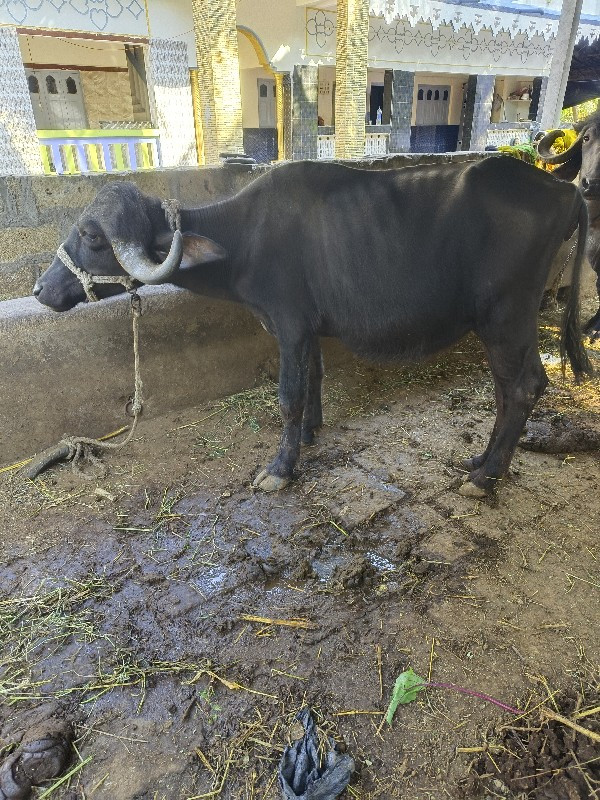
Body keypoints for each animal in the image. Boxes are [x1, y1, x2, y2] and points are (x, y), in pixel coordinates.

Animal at [32, 156, 592, 496]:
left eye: (92, 236)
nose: (40, 290)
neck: (244, 239)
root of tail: (563, 190)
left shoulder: (289, 324)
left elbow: (288, 395)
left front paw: (280, 468)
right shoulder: (309, 330)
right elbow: (314, 380)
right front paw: (309, 433)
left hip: (506, 317)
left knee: (523, 387)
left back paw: (486, 477)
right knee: (510, 389)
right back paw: (479, 461)